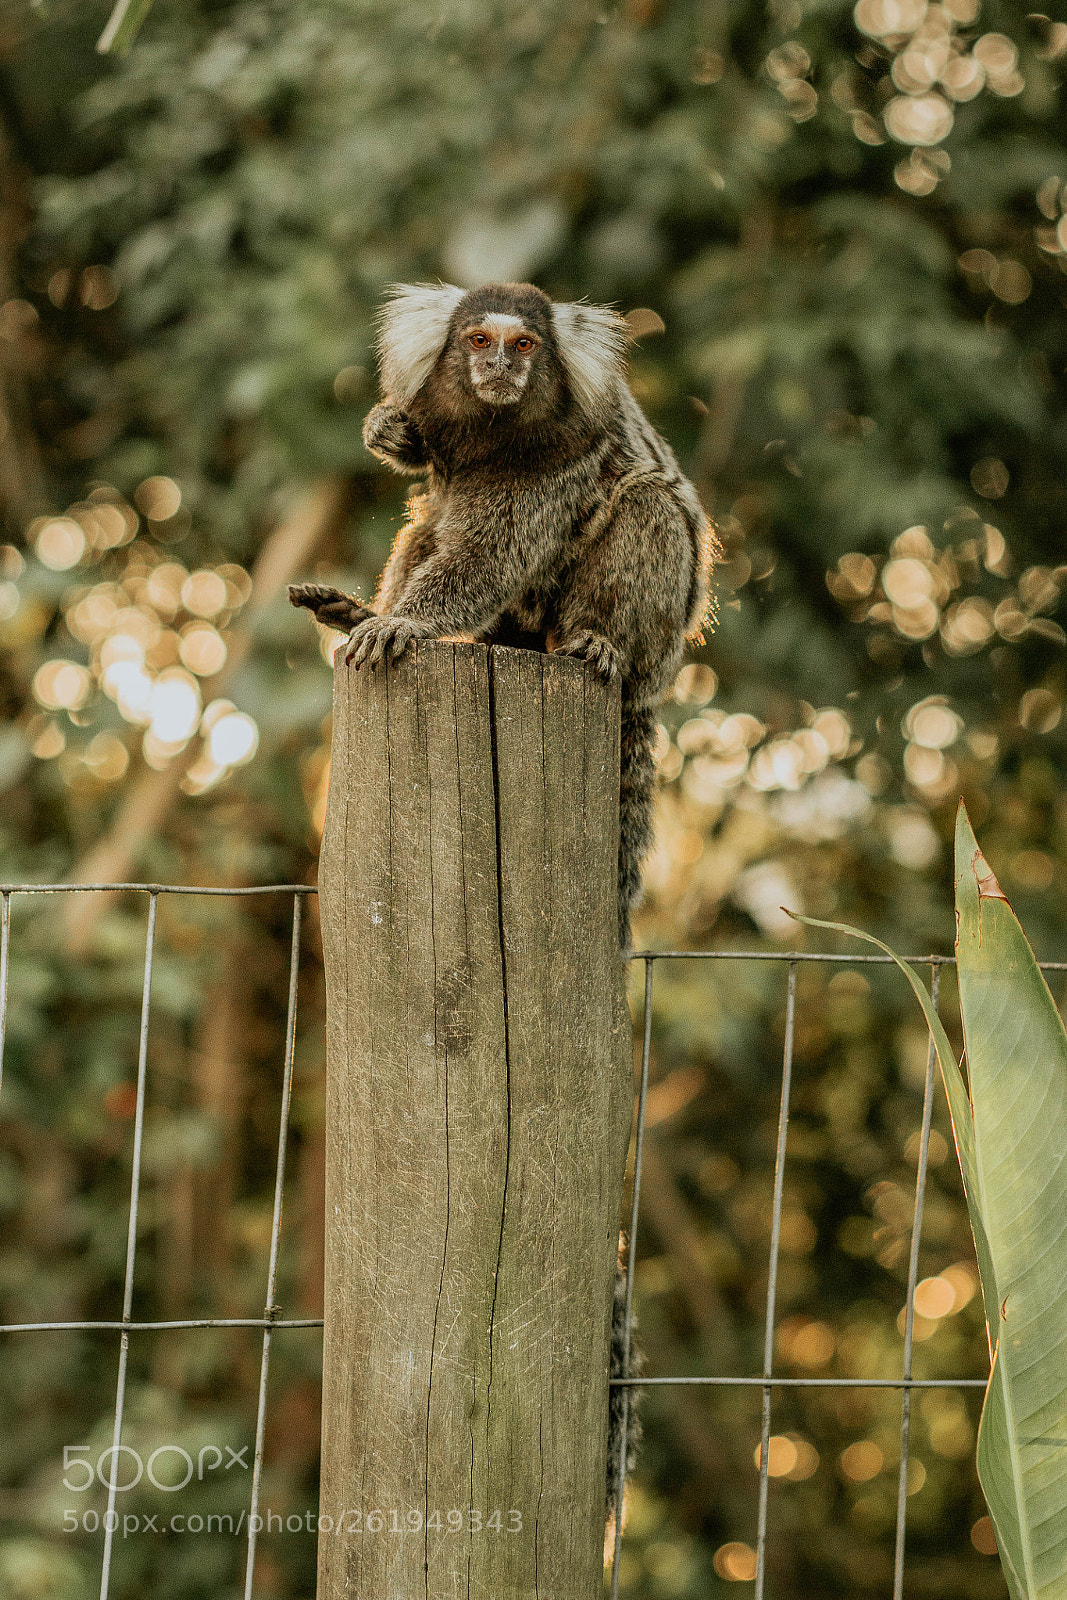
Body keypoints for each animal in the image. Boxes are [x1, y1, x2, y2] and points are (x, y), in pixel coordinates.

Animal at [290, 280, 716, 950]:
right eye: (479, 340)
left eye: (523, 345)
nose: (499, 366)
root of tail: (654, 683)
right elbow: (424, 478)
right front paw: (386, 430)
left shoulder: (558, 457)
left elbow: (491, 555)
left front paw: (405, 623)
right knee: (426, 526)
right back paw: (353, 614)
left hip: (655, 641)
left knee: (648, 503)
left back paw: (596, 643)